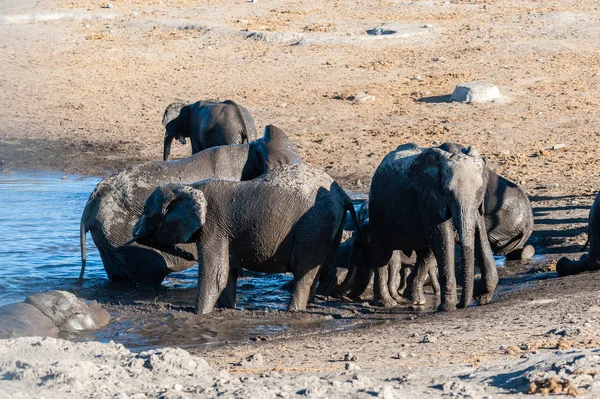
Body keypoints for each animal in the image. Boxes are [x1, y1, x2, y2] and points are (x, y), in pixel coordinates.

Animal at [127, 164, 360, 314]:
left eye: (146, 211)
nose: (136, 233)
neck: (189, 186)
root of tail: (342, 194)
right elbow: (227, 274)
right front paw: (224, 310)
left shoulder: (214, 226)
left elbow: (215, 276)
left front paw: (199, 315)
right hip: (329, 226)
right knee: (321, 270)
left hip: (314, 225)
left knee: (304, 274)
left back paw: (291, 312)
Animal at [338, 144, 496, 312]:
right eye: (447, 193)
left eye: (480, 192)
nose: (462, 305)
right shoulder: (429, 198)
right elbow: (443, 239)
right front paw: (447, 308)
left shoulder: (477, 205)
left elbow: (479, 233)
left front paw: (482, 296)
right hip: (377, 210)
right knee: (382, 254)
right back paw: (387, 303)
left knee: (426, 253)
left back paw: (416, 299)